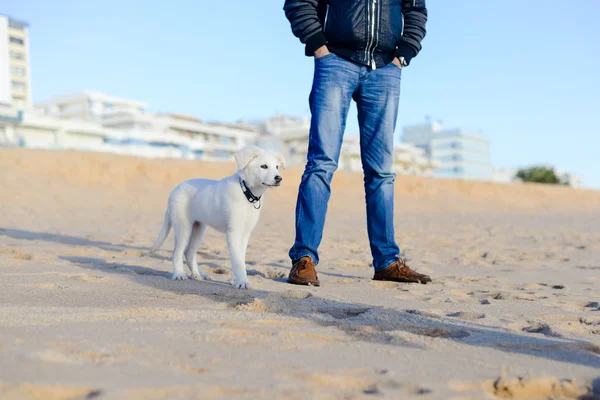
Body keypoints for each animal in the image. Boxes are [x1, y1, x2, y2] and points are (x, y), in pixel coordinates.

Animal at [147, 145, 284, 290]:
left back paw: (198, 275)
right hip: (183, 227)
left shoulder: (245, 233)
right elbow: (237, 260)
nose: (279, 178)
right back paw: (179, 274)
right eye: (264, 166)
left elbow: (240, 259)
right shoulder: (234, 233)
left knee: (189, 253)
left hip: (198, 229)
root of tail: (173, 191)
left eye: (277, 167)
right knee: (177, 252)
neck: (246, 192)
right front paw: (242, 282)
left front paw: (238, 280)